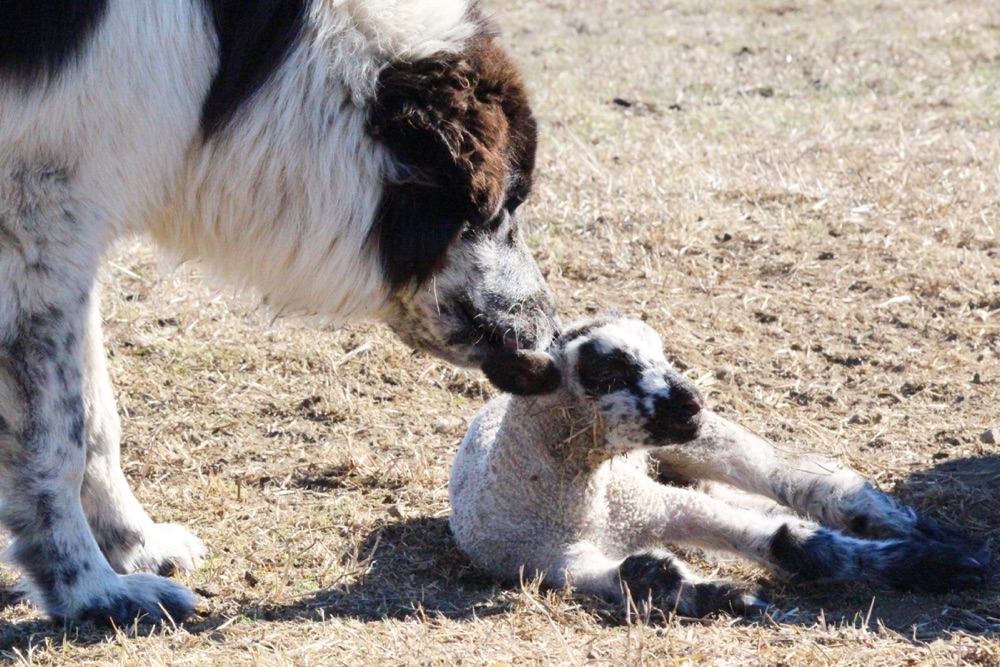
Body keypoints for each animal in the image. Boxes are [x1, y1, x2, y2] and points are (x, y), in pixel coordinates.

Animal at [449, 316, 990, 617]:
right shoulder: (549, 562)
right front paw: (733, 599)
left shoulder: (658, 505)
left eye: (660, 351)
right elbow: (647, 575)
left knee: (796, 479)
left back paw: (914, 527)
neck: (590, 512)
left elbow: (791, 541)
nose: (693, 402)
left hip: (707, 445)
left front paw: (940, 564)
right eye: (606, 371)